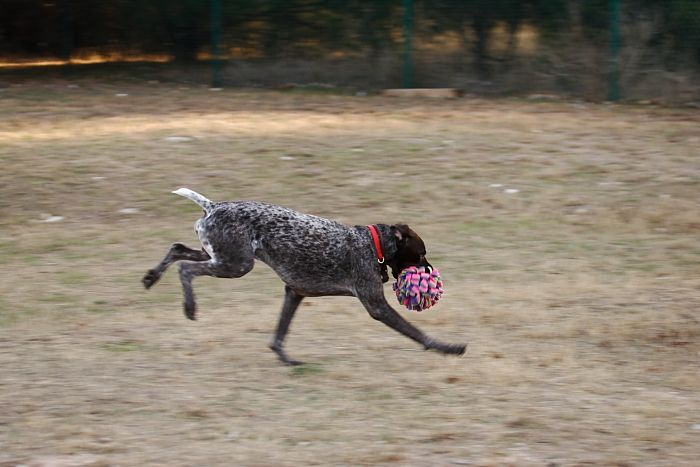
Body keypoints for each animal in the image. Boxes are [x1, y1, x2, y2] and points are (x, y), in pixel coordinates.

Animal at [143, 188, 468, 364]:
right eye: (421, 254)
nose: (430, 272)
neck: (371, 244)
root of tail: (212, 206)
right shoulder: (376, 305)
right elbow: (417, 333)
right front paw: (448, 348)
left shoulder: (294, 293)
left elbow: (279, 335)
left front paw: (286, 360)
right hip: (235, 265)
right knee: (186, 269)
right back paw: (189, 307)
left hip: (219, 255)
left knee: (177, 249)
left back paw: (151, 277)